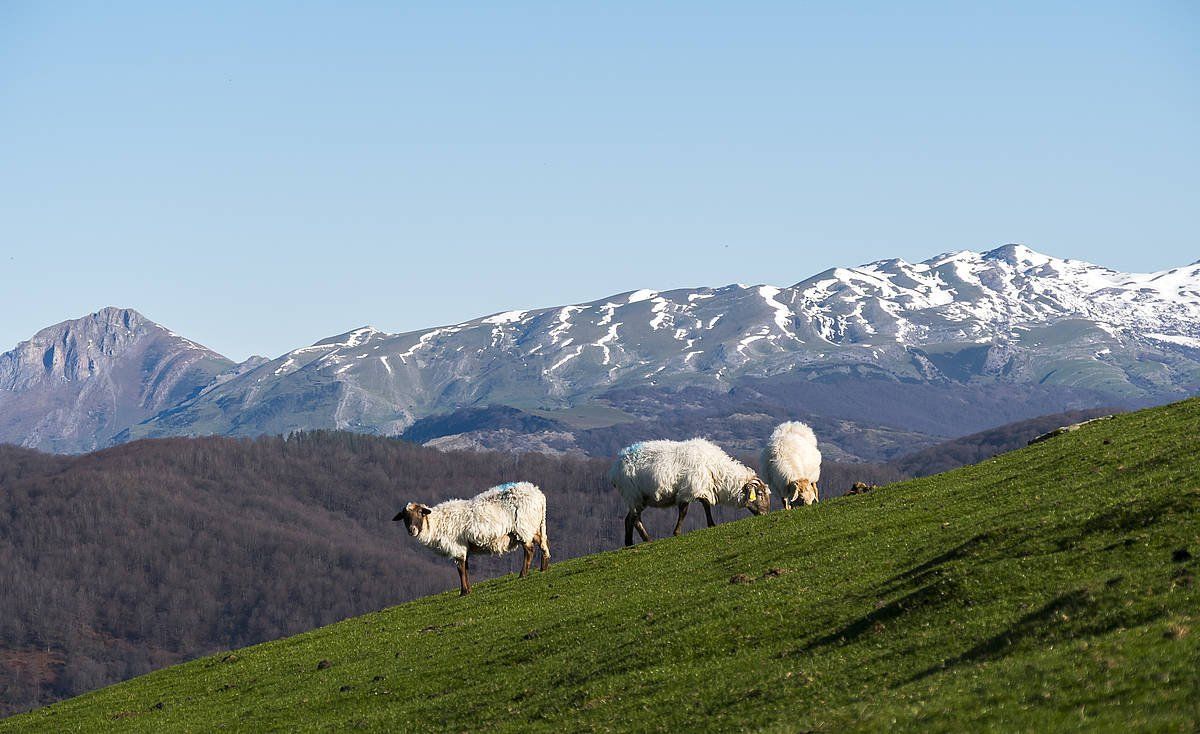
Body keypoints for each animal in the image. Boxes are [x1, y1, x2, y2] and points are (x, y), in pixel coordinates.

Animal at [391, 482, 549, 597]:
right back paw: (544, 567)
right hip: (534, 525)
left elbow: (461, 569)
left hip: (523, 526)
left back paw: (523, 574)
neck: (436, 523)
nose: (412, 530)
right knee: (543, 543)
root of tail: (539, 494)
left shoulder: (457, 547)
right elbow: (466, 568)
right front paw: (468, 590)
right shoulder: (464, 548)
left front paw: (464, 592)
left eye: (420, 512)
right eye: (404, 516)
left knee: (529, 550)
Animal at [609, 436, 768, 544]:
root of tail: (615, 468)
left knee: (630, 519)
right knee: (633, 519)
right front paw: (677, 532)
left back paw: (632, 542)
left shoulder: (701, 488)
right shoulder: (688, 490)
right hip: (633, 494)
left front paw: (711, 524)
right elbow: (684, 512)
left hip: (639, 497)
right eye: (759, 494)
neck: (716, 470)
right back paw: (643, 540)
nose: (765, 514)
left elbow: (706, 506)